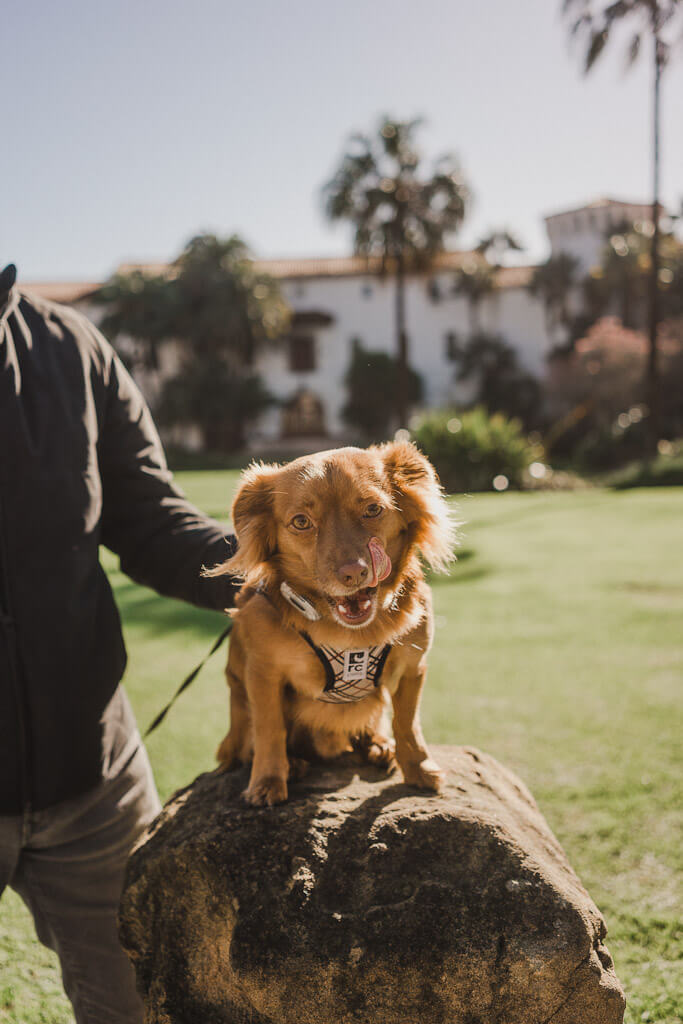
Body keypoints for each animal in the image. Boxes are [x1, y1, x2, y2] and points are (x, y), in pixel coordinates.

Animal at [205, 444, 456, 802]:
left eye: (373, 509)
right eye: (301, 522)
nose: (353, 573)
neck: (350, 635)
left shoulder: (412, 668)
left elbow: (408, 724)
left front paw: (419, 768)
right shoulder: (263, 675)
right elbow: (269, 729)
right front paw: (268, 779)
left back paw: (378, 746)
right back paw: (293, 764)